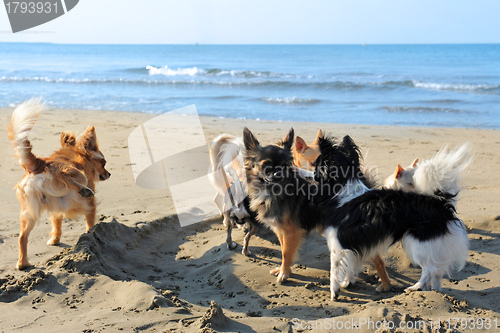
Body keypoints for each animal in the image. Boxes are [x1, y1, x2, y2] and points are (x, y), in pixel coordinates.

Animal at [7, 99, 110, 270]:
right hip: (77, 174)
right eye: (104, 163)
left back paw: (23, 263)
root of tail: (40, 164)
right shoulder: (91, 206)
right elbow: (90, 223)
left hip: (29, 212)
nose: (109, 174)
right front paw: (91, 234)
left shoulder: (56, 211)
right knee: (64, 174)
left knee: (22, 238)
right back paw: (83, 189)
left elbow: (57, 225)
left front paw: (55, 240)